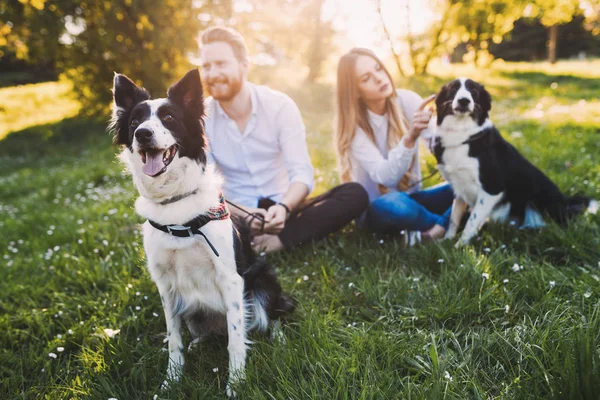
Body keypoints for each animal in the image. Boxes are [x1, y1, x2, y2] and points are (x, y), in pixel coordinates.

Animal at [109, 69, 296, 396]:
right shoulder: (166, 285)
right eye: (134, 122)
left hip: (262, 279)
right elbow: (174, 340)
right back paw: (199, 344)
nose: (142, 134)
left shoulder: (231, 279)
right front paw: (171, 381)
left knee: (271, 316)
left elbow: (236, 340)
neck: (175, 205)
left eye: (169, 117)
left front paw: (236, 383)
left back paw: (279, 340)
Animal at [432, 77, 596, 247]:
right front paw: (447, 240)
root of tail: (565, 203)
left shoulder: (492, 188)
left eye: (474, 91)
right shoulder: (459, 189)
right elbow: (454, 218)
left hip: (537, 202)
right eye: (453, 89)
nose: (464, 100)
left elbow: (472, 221)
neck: (464, 135)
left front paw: (460, 246)